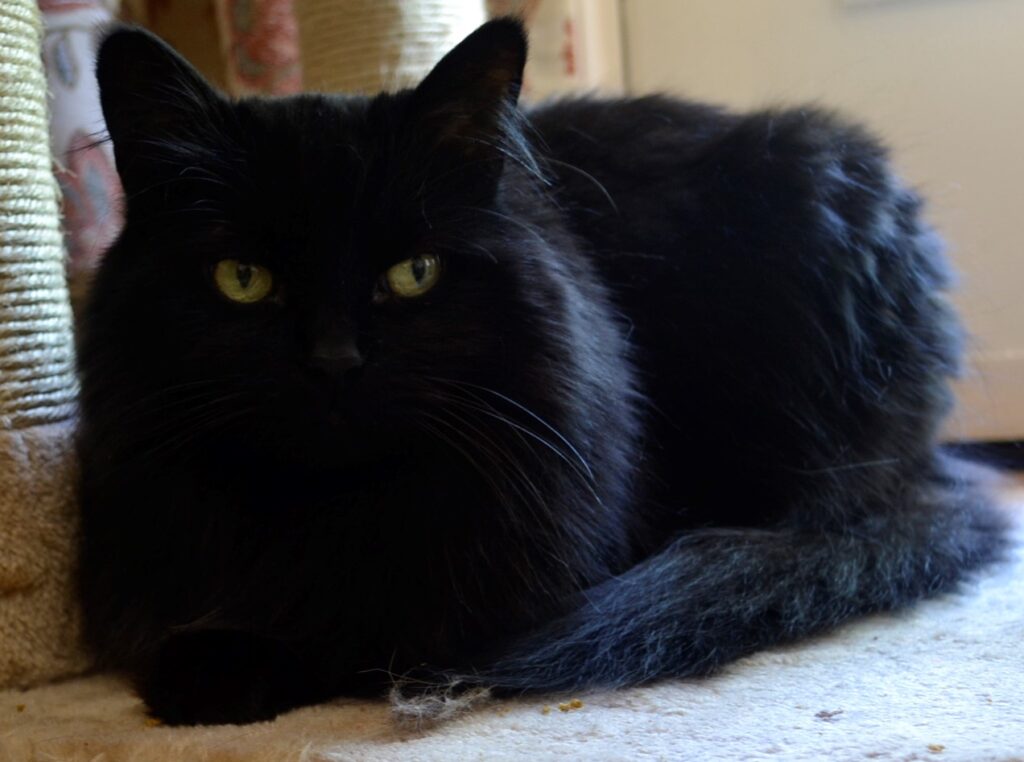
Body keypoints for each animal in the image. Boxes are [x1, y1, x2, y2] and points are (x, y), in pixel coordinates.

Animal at [75, 16, 1003, 721]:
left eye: (415, 272)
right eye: (243, 279)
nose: (334, 361)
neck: (331, 514)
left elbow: (376, 631)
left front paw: (223, 674)